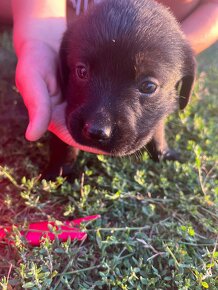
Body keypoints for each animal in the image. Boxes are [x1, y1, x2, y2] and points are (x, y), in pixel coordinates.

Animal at [45, 0, 195, 179]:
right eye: (81, 71)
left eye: (149, 87)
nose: (96, 131)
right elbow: (64, 145)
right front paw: (58, 172)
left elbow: (158, 130)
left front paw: (163, 152)